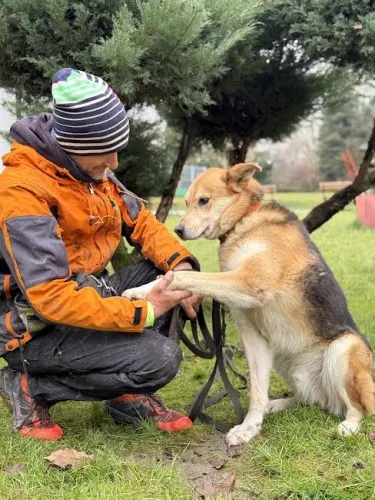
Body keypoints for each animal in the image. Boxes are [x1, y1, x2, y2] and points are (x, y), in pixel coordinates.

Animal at [122, 163, 374, 446]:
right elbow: (256, 390)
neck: (243, 221)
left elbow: (183, 277)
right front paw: (250, 427)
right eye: (186, 203)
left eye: (203, 201)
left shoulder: (248, 282)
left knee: (357, 407)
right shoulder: (253, 336)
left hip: (343, 349)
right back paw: (275, 405)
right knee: (307, 398)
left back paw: (349, 426)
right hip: (285, 361)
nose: (178, 230)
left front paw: (145, 291)